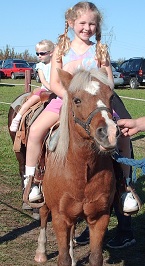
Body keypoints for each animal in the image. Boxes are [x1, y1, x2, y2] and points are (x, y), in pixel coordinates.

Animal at [34, 69, 119, 266]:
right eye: (77, 100)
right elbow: (63, 258)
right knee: (43, 213)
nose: (110, 133)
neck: (82, 169)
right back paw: (41, 251)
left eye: (111, 96)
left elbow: (96, 257)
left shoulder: (100, 217)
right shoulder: (60, 218)